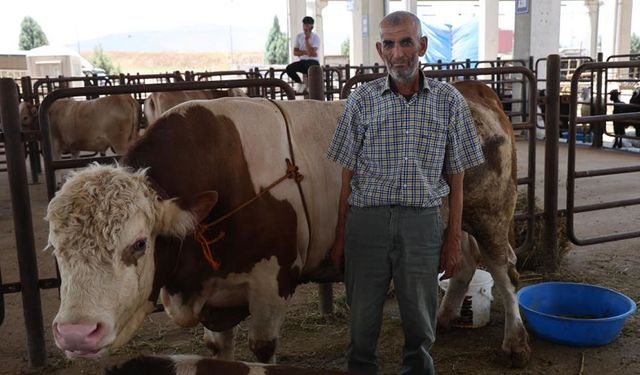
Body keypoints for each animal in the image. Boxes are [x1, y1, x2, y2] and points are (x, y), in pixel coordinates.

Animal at [46, 81, 528, 368]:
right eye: (56, 250)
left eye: (139, 243)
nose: (76, 333)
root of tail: (471, 89)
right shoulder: (215, 294)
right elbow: (218, 350)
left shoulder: (270, 283)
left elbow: (261, 350)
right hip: (456, 221)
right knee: (465, 261)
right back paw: (445, 319)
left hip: (491, 212)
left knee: (505, 269)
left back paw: (516, 342)